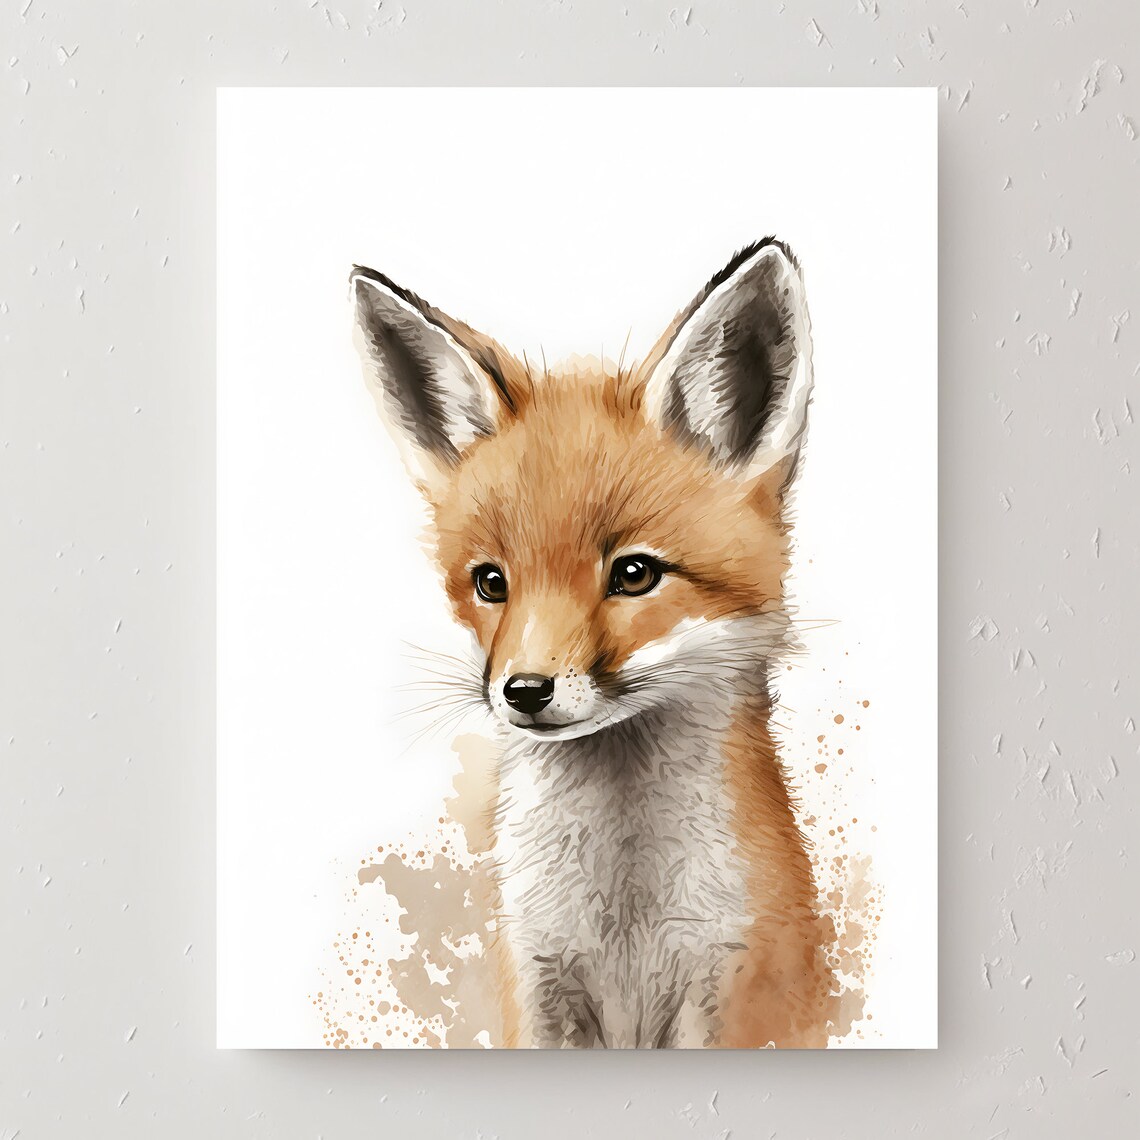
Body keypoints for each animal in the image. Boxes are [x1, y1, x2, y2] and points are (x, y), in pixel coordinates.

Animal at [351, 239, 835, 1048]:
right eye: (490, 582)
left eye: (634, 574)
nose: (523, 690)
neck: (623, 924)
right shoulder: (538, 985)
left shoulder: (732, 991)